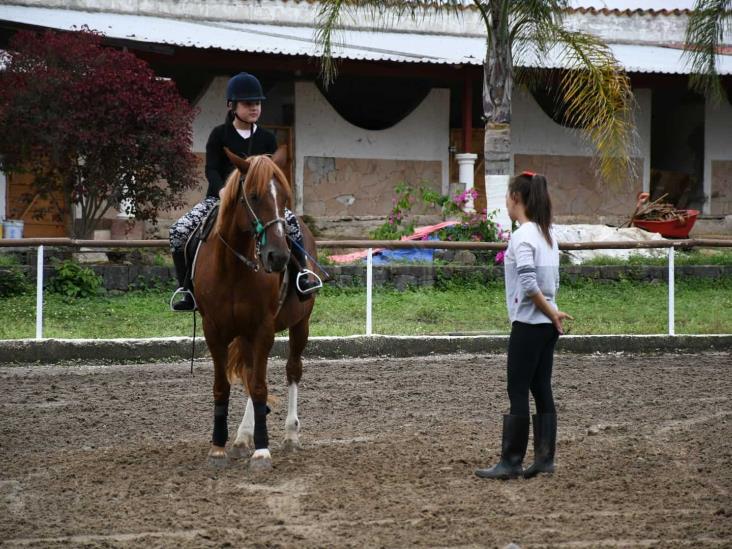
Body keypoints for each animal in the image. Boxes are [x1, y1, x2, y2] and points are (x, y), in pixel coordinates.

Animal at [194, 149, 318, 470]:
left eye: (284, 197)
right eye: (253, 196)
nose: (278, 256)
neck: (234, 267)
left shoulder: (263, 328)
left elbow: (261, 387)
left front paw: (262, 451)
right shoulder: (214, 330)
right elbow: (224, 386)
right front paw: (218, 448)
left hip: (300, 324)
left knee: (292, 370)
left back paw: (290, 435)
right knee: (251, 377)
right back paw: (241, 438)